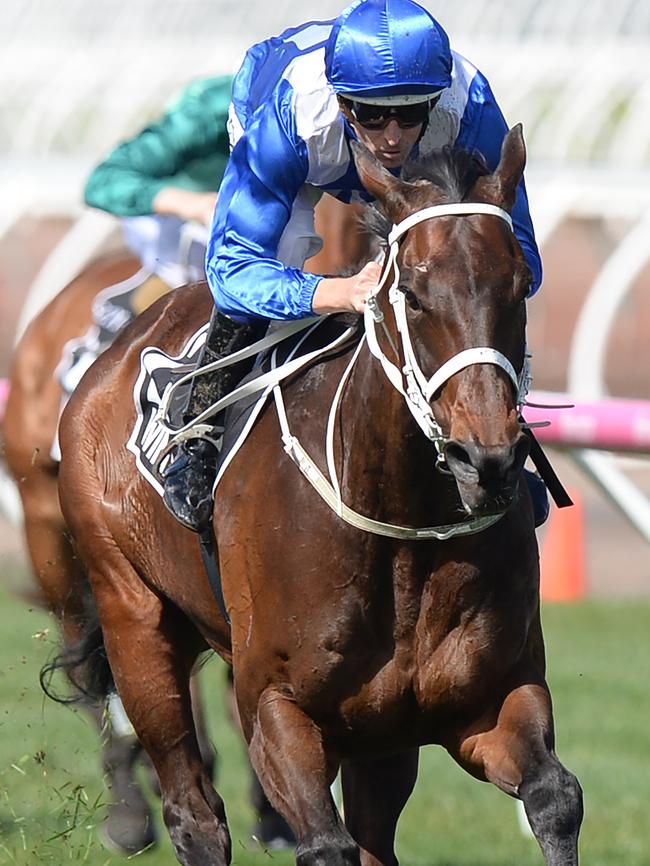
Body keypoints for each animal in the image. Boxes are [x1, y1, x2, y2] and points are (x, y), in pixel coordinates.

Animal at [53, 126, 580, 864]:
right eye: (413, 293)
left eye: (520, 284)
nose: (487, 460)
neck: (400, 525)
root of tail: (115, 350)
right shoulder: (276, 707)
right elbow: (324, 841)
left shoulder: (487, 698)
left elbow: (555, 797)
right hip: (132, 617)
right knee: (193, 813)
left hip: (380, 737)